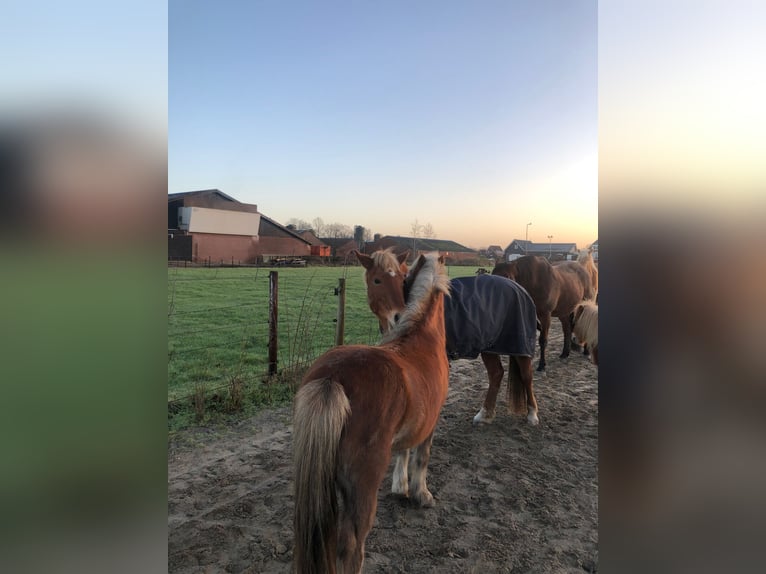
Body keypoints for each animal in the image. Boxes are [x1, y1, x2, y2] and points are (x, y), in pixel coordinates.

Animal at [293, 252, 450, 574]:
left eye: (401, 279)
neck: (421, 335)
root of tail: (332, 378)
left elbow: (404, 451)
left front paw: (401, 487)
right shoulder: (430, 423)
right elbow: (422, 457)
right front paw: (421, 494)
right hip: (362, 487)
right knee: (352, 545)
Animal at [354, 248, 540, 426]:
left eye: (402, 280)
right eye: (377, 280)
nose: (398, 317)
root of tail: (520, 288)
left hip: (519, 346)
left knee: (526, 375)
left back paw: (532, 414)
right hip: (489, 347)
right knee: (496, 374)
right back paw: (485, 414)